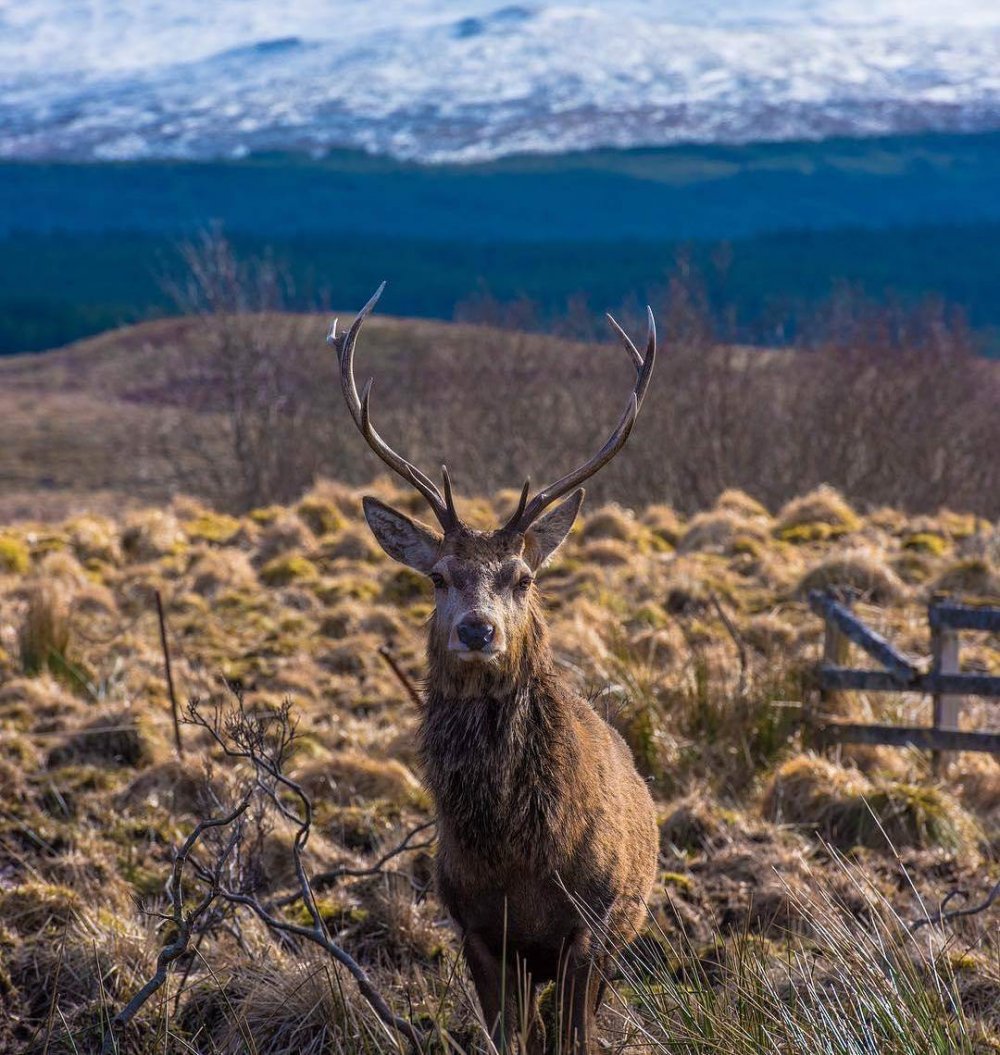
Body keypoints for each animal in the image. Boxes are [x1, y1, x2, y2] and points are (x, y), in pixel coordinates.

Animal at [324, 284, 658, 1050]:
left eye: (521, 576)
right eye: (440, 576)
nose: (478, 629)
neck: (516, 856)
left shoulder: (590, 926)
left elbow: (571, 1041)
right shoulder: (475, 928)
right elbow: (505, 1038)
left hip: (623, 930)